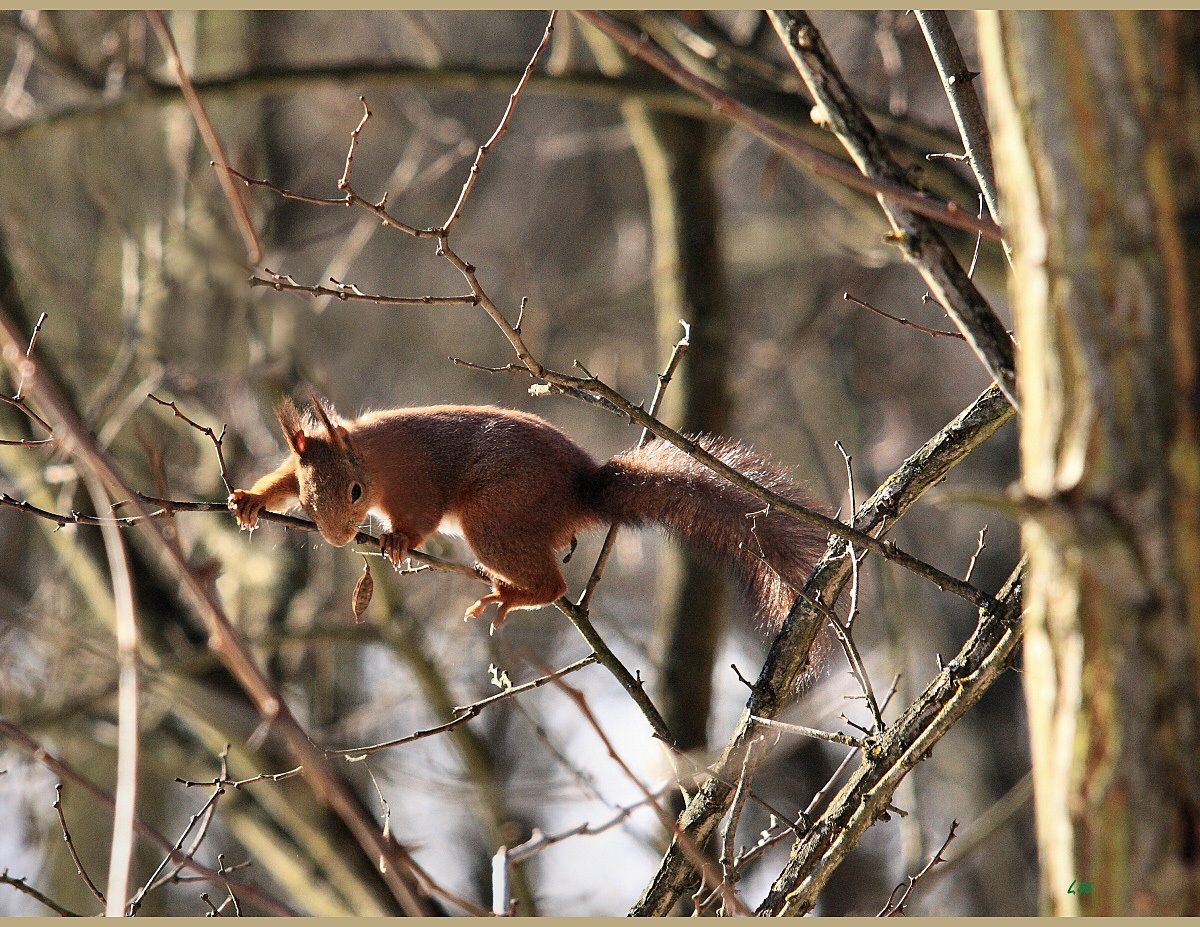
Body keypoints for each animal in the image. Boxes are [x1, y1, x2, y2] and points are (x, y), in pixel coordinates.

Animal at [228, 393, 826, 631]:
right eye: (309, 503)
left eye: (354, 493)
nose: (334, 539)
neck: (374, 456)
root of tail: (582, 492)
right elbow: (281, 477)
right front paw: (251, 499)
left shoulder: (417, 481)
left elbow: (420, 517)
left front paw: (399, 541)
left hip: (494, 520)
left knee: (554, 584)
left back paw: (512, 594)